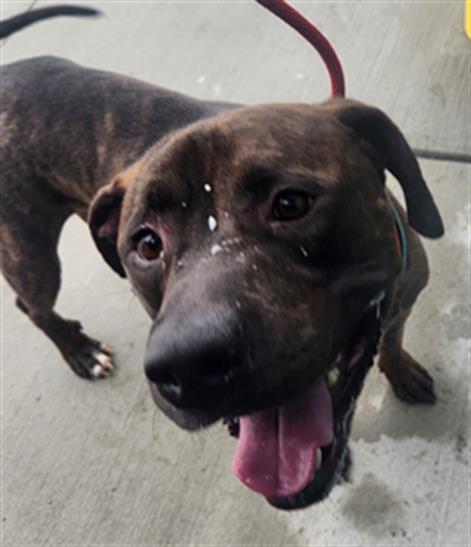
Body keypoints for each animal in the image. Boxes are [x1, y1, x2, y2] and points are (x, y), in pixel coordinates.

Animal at [0, 5, 442, 510]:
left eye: (291, 203)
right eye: (147, 245)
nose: (187, 364)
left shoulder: (402, 299)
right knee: (31, 305)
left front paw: (400, 369)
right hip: (30, 251)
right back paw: (80, 350)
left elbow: (391, 337)